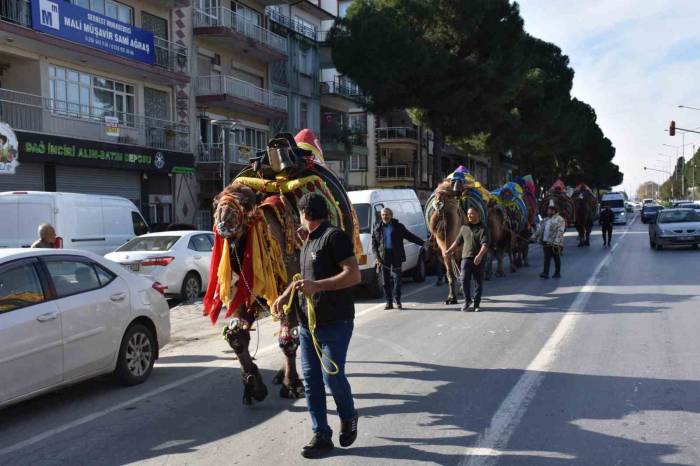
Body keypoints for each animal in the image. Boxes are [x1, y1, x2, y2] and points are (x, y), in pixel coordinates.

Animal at [201, 130, 358, 404]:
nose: (224, 220)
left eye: (246, 201)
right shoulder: (247, 288)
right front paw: (253, 385)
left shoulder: (291, 284)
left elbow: (289, 337)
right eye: (216, 200)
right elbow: (237, 334)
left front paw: (292, 385)